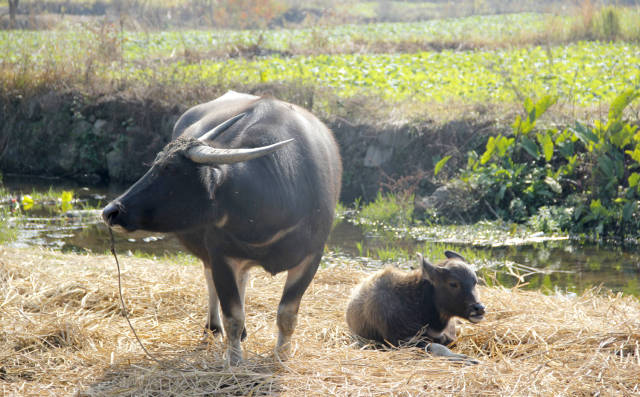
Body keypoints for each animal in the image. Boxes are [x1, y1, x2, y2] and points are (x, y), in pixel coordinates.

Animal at [104, 89, 342, 362]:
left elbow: (286, 315)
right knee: (211, 282)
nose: (111, 210)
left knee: (243, 279)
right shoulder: (220, 256)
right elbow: (233, 316)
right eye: (155, 163)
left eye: (169, 168)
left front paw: (281, 356)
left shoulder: (311, 258)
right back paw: (213, 328)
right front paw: (234, 359)